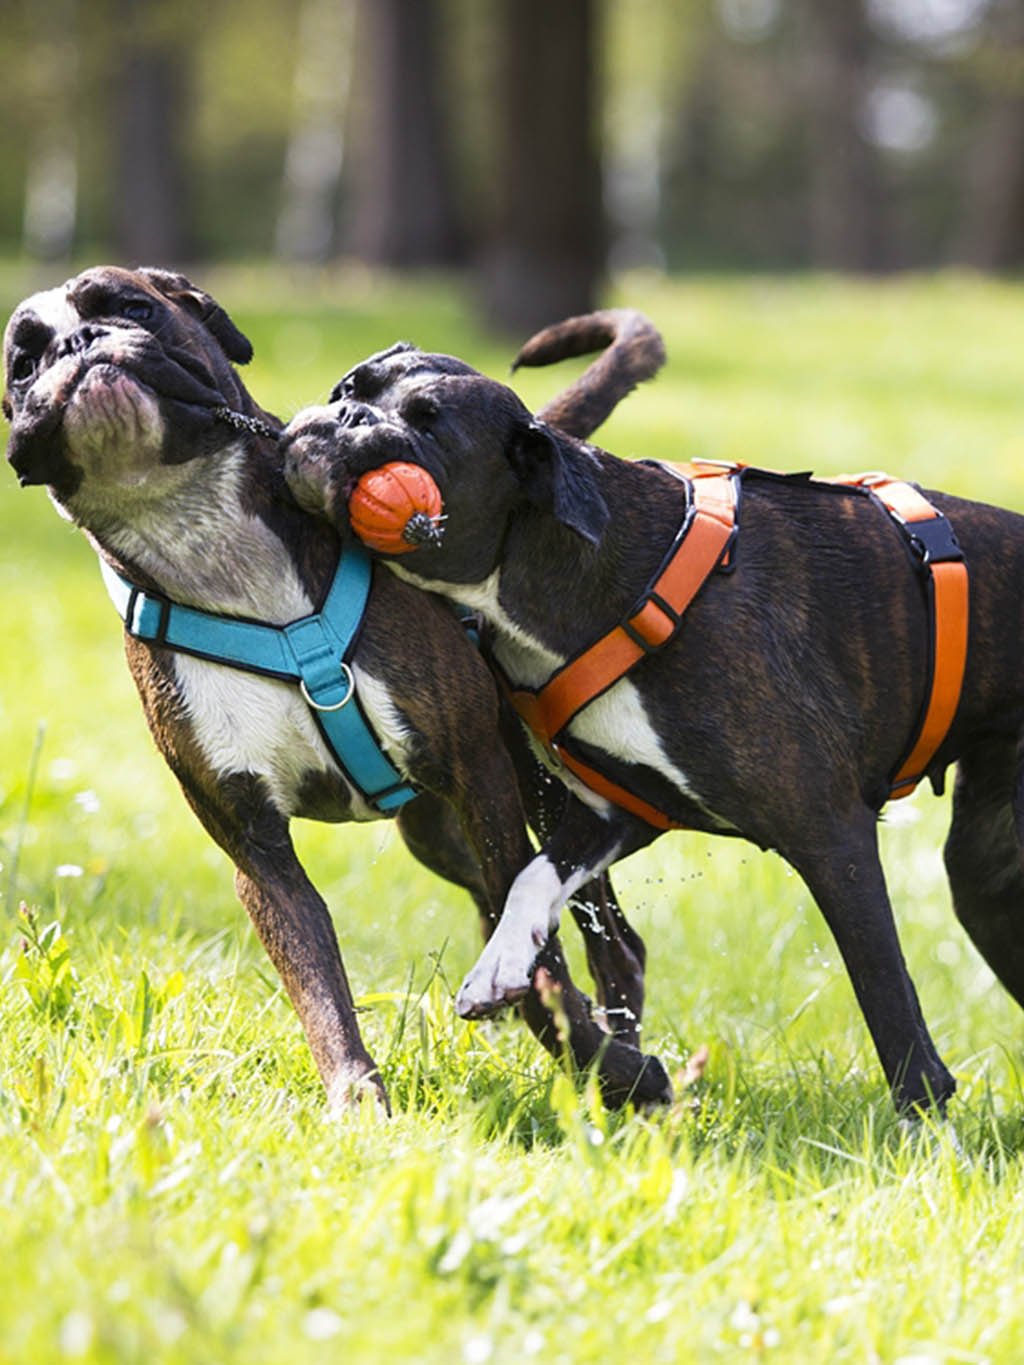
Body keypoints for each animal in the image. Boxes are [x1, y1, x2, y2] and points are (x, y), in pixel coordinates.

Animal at [285, 341, 1024, 1108]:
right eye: (349, 388)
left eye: (429, 428)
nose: (344, 416)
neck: (603, 574)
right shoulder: (617, 812)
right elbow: (533, 878)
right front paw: (501, 964)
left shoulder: (831, 836)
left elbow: (887, 998)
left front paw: (923, 1120)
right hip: (988, 883)